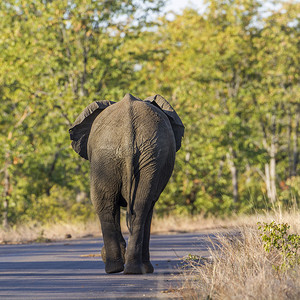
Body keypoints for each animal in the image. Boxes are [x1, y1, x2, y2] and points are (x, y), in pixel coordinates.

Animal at [69, 93, 184, 274]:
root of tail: (128, 134)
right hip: (123, 156)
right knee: (133, 205)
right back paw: (127, 269)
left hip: (132, 155)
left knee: (113, 204)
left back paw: (123, 269)